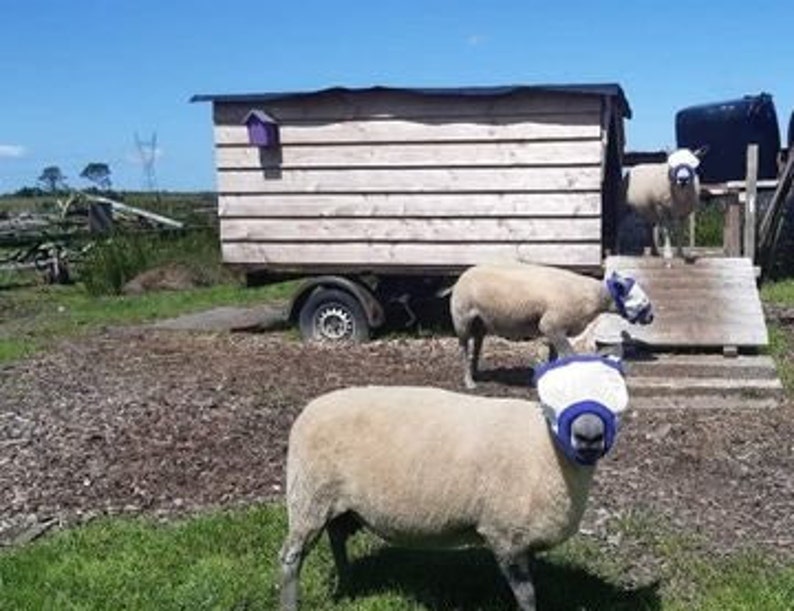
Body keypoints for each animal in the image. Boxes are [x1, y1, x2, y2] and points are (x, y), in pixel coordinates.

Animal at [278, 356, 629, 611]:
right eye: (552, 394)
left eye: (617, 395)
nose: (588, 437)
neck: (546, 446)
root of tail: (310, 408)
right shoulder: (505, 534)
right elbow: (527, 594)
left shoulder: (522, 536)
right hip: (309, 496)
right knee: (290, 558)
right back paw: (291, 603)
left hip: (338, 504)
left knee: (336, 540)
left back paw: (347, 588)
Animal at [449, 262, 653, 389]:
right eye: (642, 300)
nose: (651, 317)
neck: (594, 297)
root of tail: (464, 274)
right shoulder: (551, 325)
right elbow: (569, 356)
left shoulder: (556, 329)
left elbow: (555, 358)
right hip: (462, 318)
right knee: (463, 348)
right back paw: (469, 381)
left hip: (480, 322)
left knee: (477, 344)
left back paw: (475, 372)